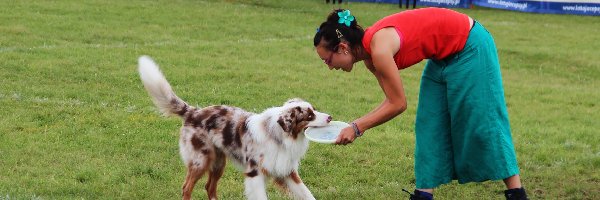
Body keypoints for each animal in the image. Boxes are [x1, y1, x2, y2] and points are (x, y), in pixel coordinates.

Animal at [137, 55, 332, 199]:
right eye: (309, 115)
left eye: (314, 109)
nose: (330, 117)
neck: (278, 136)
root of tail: (193, 112)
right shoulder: (255, 173)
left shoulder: (286, 171)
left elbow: (308, 194)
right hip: (201, 160)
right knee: (187, 188)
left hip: (218, 162)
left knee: (209, 187)